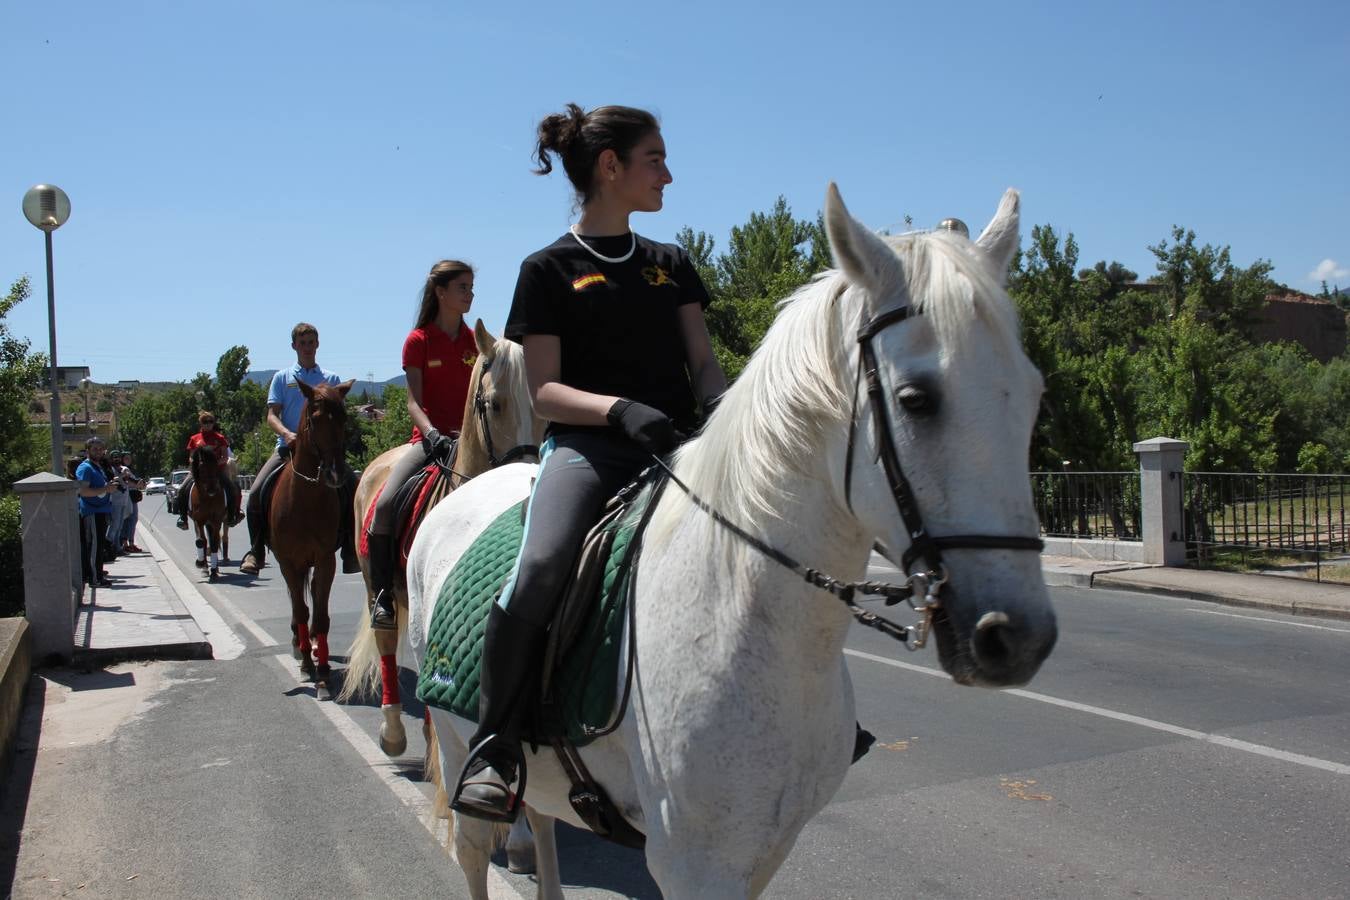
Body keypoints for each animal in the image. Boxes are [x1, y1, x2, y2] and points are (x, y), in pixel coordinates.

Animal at [187, 445, 229, 585]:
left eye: (215, 465)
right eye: (201, 468)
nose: (212, 489)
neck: (207, 498)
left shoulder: (216, 520)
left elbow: (215, 543)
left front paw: (214, 572)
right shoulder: (198, 520)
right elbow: (201, 541)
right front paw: (200, 563)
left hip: (211, 522)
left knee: (212, 540)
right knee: (204, 541)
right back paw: (204, 567)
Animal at [271, 377, 356, 701]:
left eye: (344, 418)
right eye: (315, 418)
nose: (335, 474)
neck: (304, 500)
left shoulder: (325, 559)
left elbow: (320, 617)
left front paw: (322, 675)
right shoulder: (288, 563)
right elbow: (302, 611)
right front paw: (308, 666)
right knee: (298, 608)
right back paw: (300, 647)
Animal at [405, 184, 1058, 900]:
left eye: (1033, 394)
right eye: (916, 399)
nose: (1017, 638)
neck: (744, 614)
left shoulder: (763, 852)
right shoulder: (694, 863)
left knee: (543, 822)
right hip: (457, 741)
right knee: (474, 847)